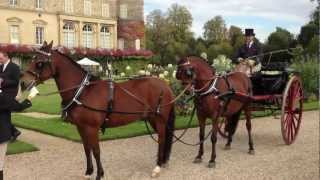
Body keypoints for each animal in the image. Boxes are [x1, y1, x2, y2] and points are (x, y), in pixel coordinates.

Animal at [19, 41, 176, 179]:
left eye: (39, 62)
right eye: (32, 59)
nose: (23, 83)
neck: (82, 91)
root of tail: (165, 85)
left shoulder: (92, 128)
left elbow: (96, 151)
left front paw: (99, 174)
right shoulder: (81, 127)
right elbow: (86, 149)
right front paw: (89, 172)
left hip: (159, 119)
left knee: (162, 139)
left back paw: (157, 167)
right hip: (152, 119)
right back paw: (161, 162)